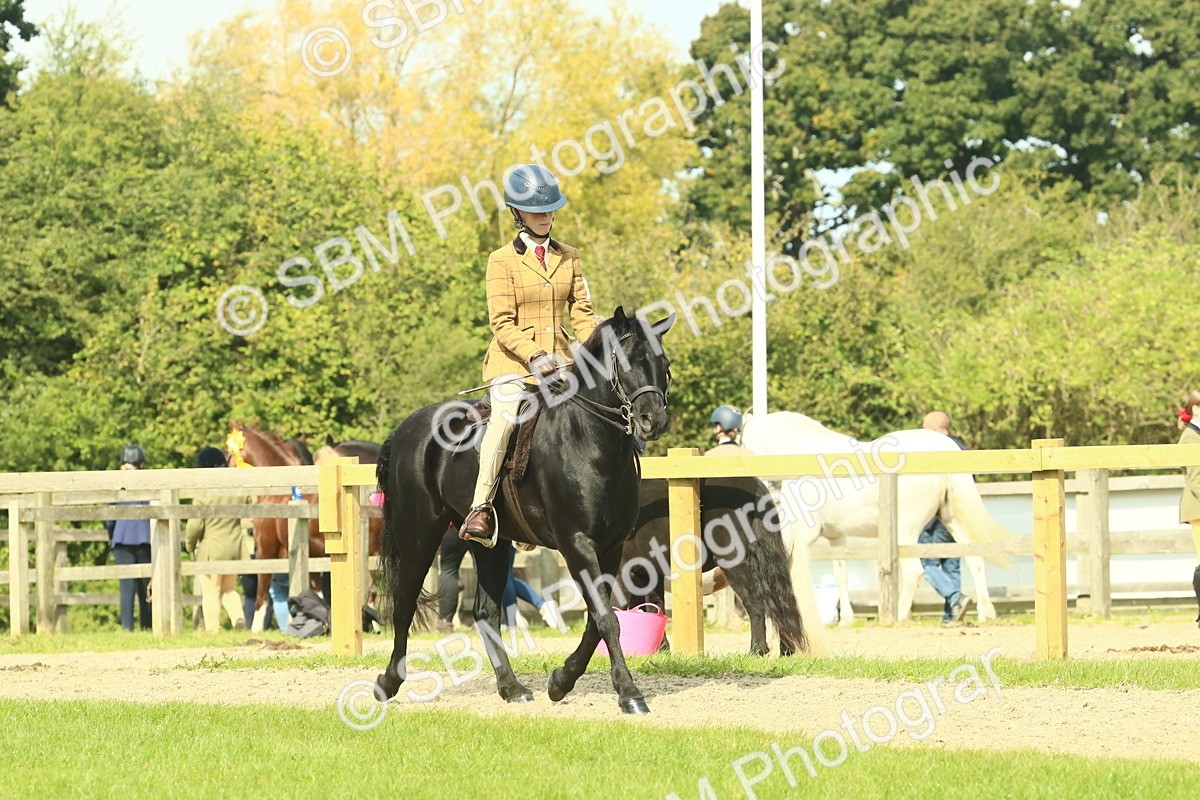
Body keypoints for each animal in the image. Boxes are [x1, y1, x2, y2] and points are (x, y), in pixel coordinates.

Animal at [374, 308, 675, 714]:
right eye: (626, 363)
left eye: (664, 364)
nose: (652, 421)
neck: (590, 440)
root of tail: (406, 429)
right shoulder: (576, 544)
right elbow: (606, 619)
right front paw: (629, 693)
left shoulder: (611, 547)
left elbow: (598, 620)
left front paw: (561, 682)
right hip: (419, 536)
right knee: (404, 603)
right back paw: (388, 682)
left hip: (492, 545)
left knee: (485, 613)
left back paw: (511, 687)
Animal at [621, 475, 828, 657]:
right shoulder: (647, 574)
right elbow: (653, 607)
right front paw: (658, 649)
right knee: (782, 604)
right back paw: (786, 652)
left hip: (734, 563)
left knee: (756, 602)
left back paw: (757, 650)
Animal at [740, 411, 1010, 625]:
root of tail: (943, 448)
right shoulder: (837, 537)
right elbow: (841, 576)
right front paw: (846, 619)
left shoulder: (806, 535)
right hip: (950, 518)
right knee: (975, 559)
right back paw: (984, 612)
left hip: (906, 530)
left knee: (913, 571)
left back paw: (898, 615)